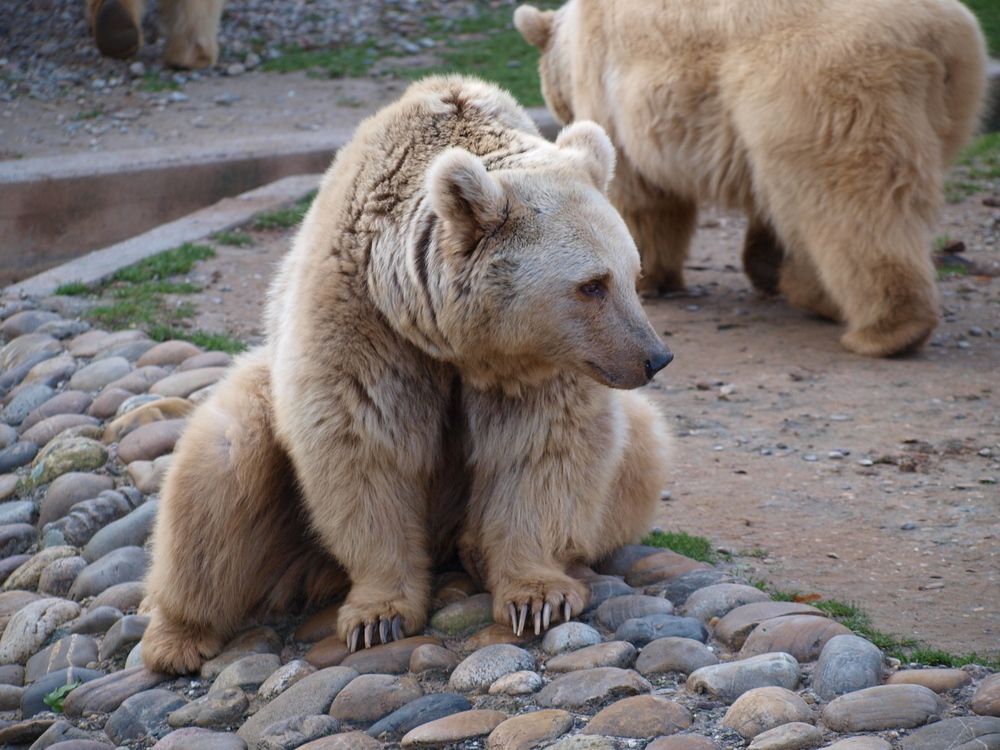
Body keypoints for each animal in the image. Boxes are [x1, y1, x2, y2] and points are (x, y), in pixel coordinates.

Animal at [139, 76, 672, 676]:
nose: (654, 357)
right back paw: (177, 637)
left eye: (632, 275)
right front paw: (379, 615)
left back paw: (475, 549)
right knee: (216, 471)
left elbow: (540, 449)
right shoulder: (361, 324)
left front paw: (537, 596)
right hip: (258, 403)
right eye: (591, 285)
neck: (445, 334)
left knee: (641, 448)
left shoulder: (538, 367)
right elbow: (364, 450)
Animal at [520, 0, 988, 356]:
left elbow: (642, 197)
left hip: (818, 84)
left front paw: (651, 277)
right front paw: (766, 267)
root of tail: (933, 40)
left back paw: (885, 328)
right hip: (954, 101)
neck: (573, 37)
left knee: (850, 203)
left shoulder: (611, 86)